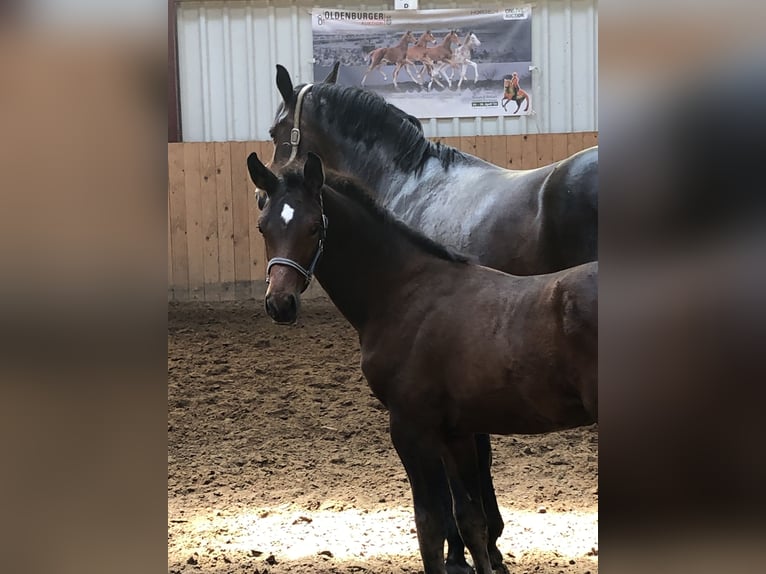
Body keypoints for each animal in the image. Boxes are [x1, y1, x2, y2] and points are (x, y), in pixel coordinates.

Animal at [249, 152, 596, 574]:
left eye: (314, 226)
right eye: (263, 227)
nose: (280, 304)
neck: (404, 290)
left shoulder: (411, 427)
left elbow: (429, 526)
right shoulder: (456, 431)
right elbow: (470, 520)